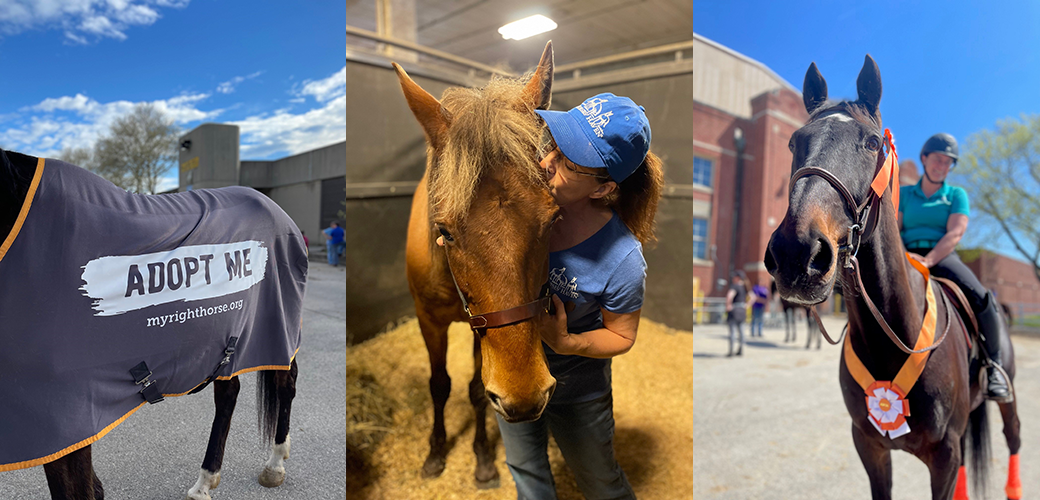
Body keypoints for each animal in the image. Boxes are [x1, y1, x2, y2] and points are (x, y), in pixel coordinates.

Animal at [0, 147, 301, 498]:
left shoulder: (65, 419)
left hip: (277, 331)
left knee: (285, 383)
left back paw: (274, 465)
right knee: (229, 393)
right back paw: (206, 480)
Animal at [393, 43, 561, 486]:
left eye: (555, 218)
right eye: (445, 231)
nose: (524, 397)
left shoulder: (481, 327)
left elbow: (474, 389)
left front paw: (483, 458)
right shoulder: (428, 319)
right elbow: (439, 384)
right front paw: (436, 453)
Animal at [769, 55, 1019, 498]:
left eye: (872, 143)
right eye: (794, 142)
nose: (796, 253)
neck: (891, 338)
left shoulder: (944, 456)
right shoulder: (869, 446)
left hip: (1006, 403)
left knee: (1014, 440)